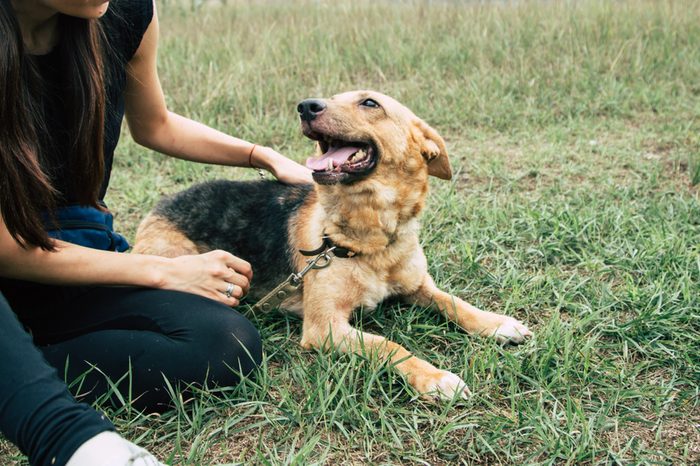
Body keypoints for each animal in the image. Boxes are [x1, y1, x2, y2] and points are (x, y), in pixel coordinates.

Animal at [134, 92, 532, 400]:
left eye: (370, 103)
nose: (305, 106)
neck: (371, 241)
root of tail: (162, 204)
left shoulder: (419, 286)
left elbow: (455, 303)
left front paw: (498, 324)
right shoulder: (325, 327)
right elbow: (388, 345)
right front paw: (435, 378)